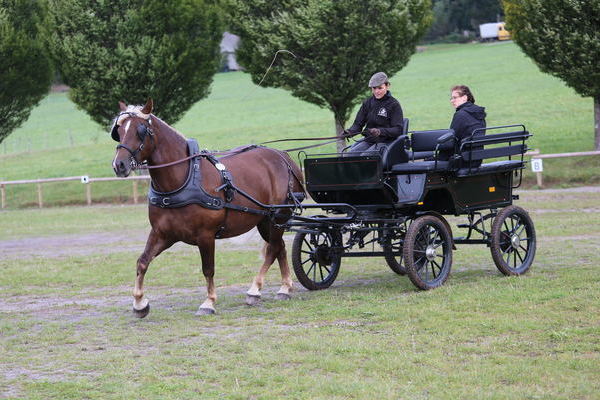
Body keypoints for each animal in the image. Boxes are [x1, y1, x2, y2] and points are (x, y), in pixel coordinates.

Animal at [110, 99, 304, 316]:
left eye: (141, 130)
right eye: (119, 130)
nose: (119, 164)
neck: (184, 180)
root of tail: (283, 156)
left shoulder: (206, 235)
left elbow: (208, 269)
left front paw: (209, 302)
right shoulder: (162, 233)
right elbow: (142, 261)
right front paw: (139, 303)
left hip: (279, 217)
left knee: (272, 249)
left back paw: (255, 290)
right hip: (265, 220)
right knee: (280, 247)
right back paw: (285, 288)